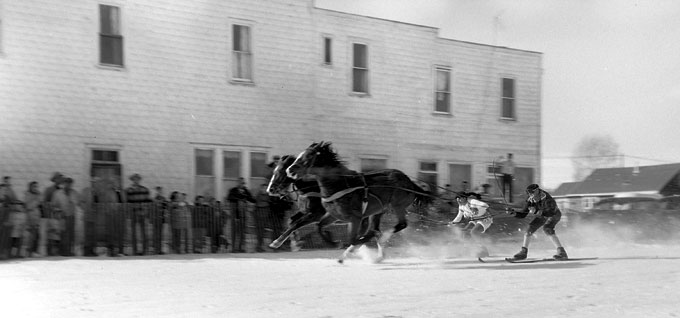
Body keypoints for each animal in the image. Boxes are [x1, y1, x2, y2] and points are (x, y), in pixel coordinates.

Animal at [284, 142, 432, 264]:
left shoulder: (355, 218)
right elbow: (319, 227)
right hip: (377, 211)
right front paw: (336, 244)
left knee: (400, 225)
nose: (290, 170)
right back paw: (375, 253)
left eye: (309, 156)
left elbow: (353, 239)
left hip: (397, 206)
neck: (340, 185)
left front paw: (353, 247)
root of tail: (409, 181)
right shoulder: (334, 215)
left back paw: (381, 237)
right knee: (377, 228)